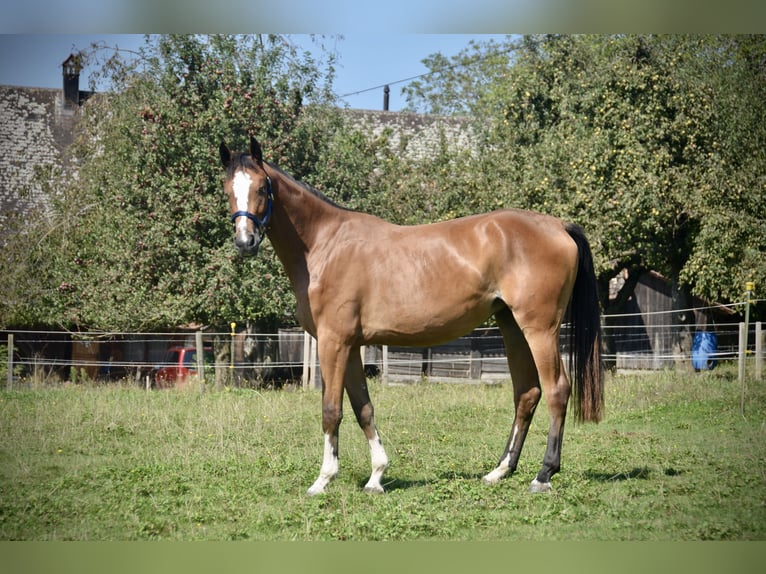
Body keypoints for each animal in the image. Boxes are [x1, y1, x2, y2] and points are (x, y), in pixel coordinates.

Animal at [220, 137, 608, 498]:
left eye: (261, 187)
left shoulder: (334, 342)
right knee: (526, 393)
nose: (245, 241)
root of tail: (558, 225)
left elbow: (331, 409)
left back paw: (543, 474)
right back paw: (499, 471)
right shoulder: (352, 345)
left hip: (540, 329)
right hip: (511, 326)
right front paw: (376, 477)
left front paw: (323, 480)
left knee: (557, 390)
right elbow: (363, 408)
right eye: (228, 191)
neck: (324, 246)